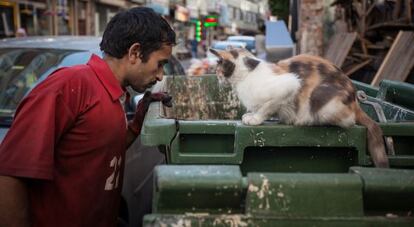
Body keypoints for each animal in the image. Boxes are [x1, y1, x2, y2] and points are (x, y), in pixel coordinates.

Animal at [212, 48, 390, 168]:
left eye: (219, 68)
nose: (216, 76)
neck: (247, 75)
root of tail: (355, 99)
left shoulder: (289, 85)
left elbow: (267, 107)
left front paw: (255, 118)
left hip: (321, 98)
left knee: (349, 121)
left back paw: (307, 121)